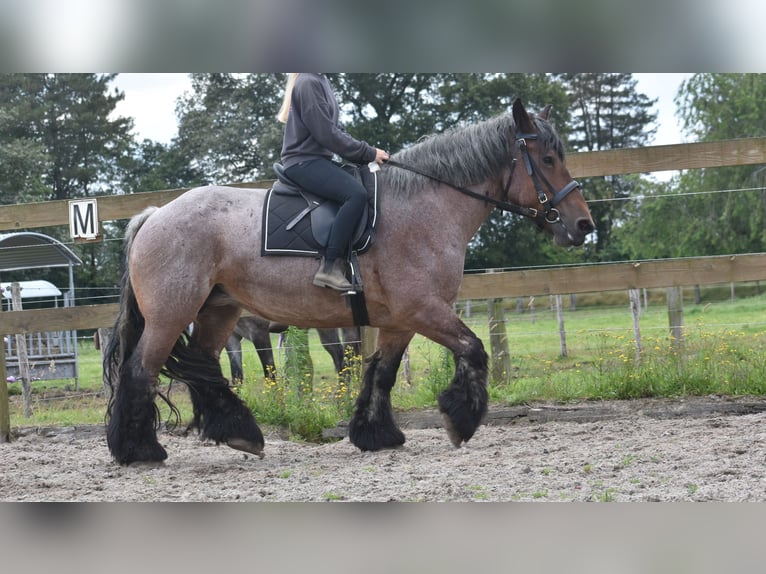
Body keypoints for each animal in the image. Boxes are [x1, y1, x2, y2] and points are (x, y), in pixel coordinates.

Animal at [225, 318, 364, 384]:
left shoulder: (259, 332)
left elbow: (270, 374)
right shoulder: (232, 337)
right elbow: (237, 377)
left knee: (346, 364)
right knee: (344, 362)